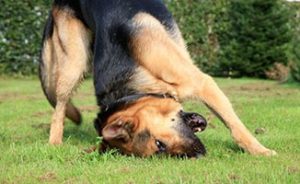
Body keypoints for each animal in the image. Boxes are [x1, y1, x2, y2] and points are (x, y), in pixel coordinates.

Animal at [38, 0, 276, 158]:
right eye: (160, 149)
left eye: (159, 143)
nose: (198, 155)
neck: (137, 88)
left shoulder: (202, 82)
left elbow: (235, 127)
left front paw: (260, 150)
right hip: (72, 61)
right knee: (59, 107)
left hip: (74, 64)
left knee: (59, 105)